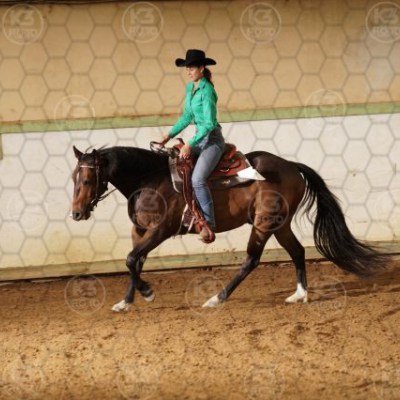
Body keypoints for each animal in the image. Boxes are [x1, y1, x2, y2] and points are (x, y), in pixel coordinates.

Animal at [71, 144, 389, 312]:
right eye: (74, 177)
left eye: (87, 180)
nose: (76, 213)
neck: (150, 180)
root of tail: (291, 166)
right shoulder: (140, 231)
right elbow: (133, 262)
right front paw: (126, 302)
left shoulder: (160, 231)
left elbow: (130, 259)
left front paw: (146, 293)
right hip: (279, 224)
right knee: (297, 252)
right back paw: (299, 294)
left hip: (263, 224)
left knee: (251, 260)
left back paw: (216, 298)